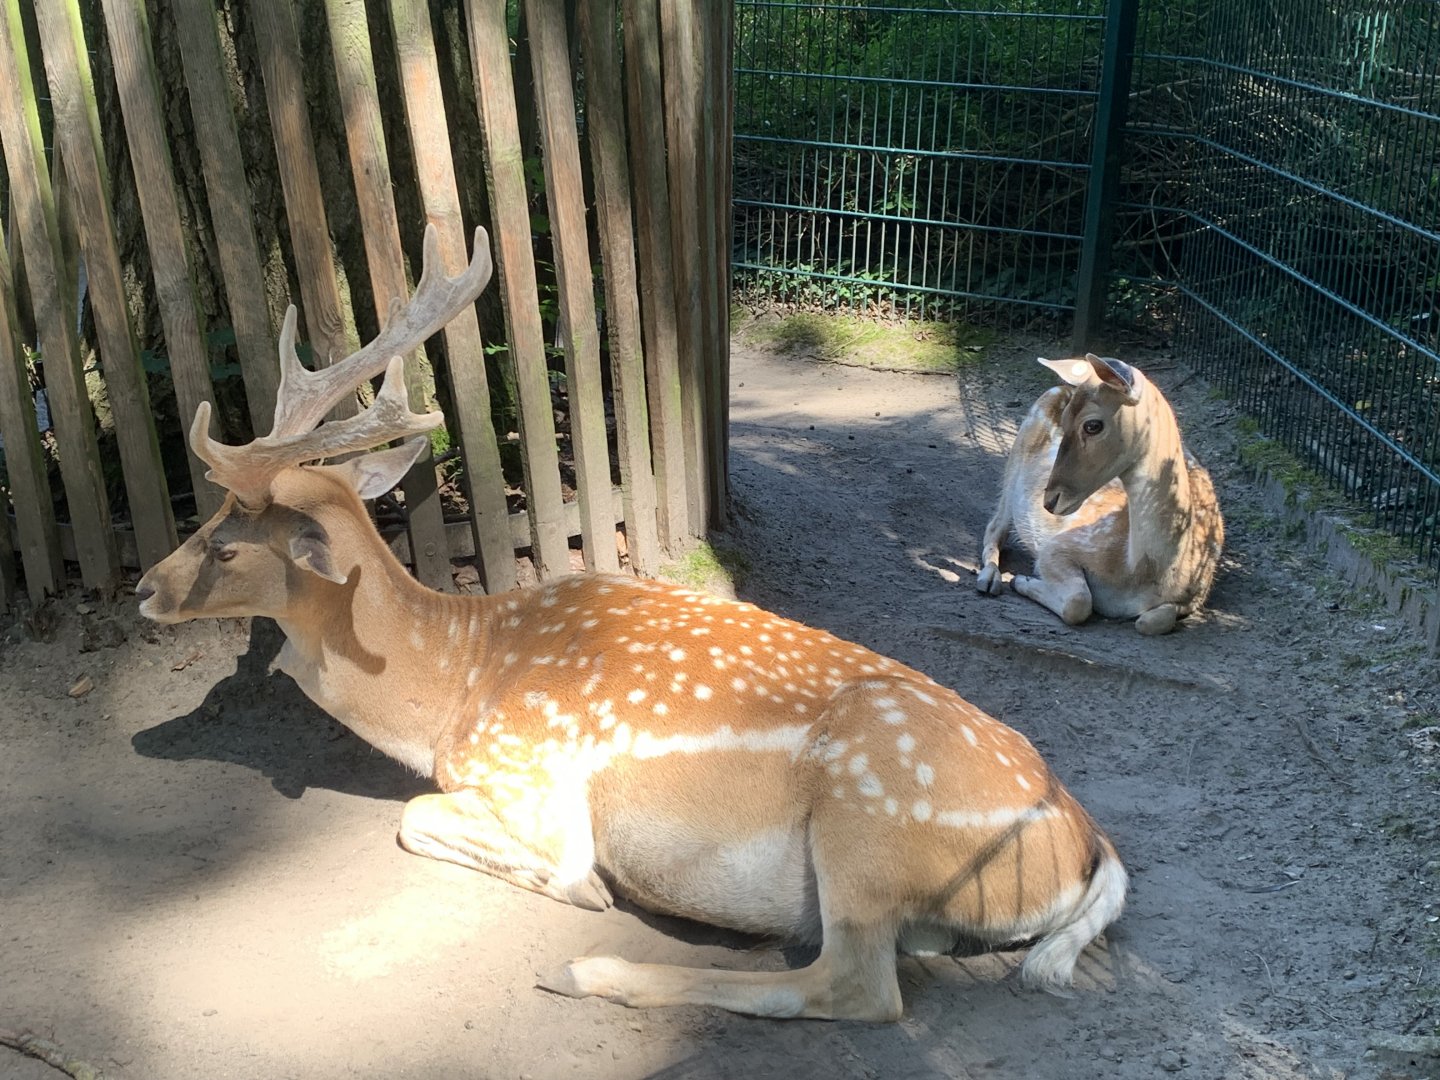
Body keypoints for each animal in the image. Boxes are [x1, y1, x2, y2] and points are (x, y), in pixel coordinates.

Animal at [135, 226, 1127, 1021]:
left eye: (228, 542)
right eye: (207, 522)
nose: (145, 587)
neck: (453, 687)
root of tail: (1085, 843)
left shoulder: (535, 787)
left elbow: (421, 820)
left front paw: (587, 893)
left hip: (869, 825)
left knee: (857, 988)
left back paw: (590, 972)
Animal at [976, 354, 1224, 636]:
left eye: (1092, 425)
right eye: (1064, 419)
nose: (1049, 500)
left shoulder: (1198, 594)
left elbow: (1153, 620)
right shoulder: (1060, 547)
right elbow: (1079, 601)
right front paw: (1022, 580)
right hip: (1015, 461)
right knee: (995, 526)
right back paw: (990, 579)